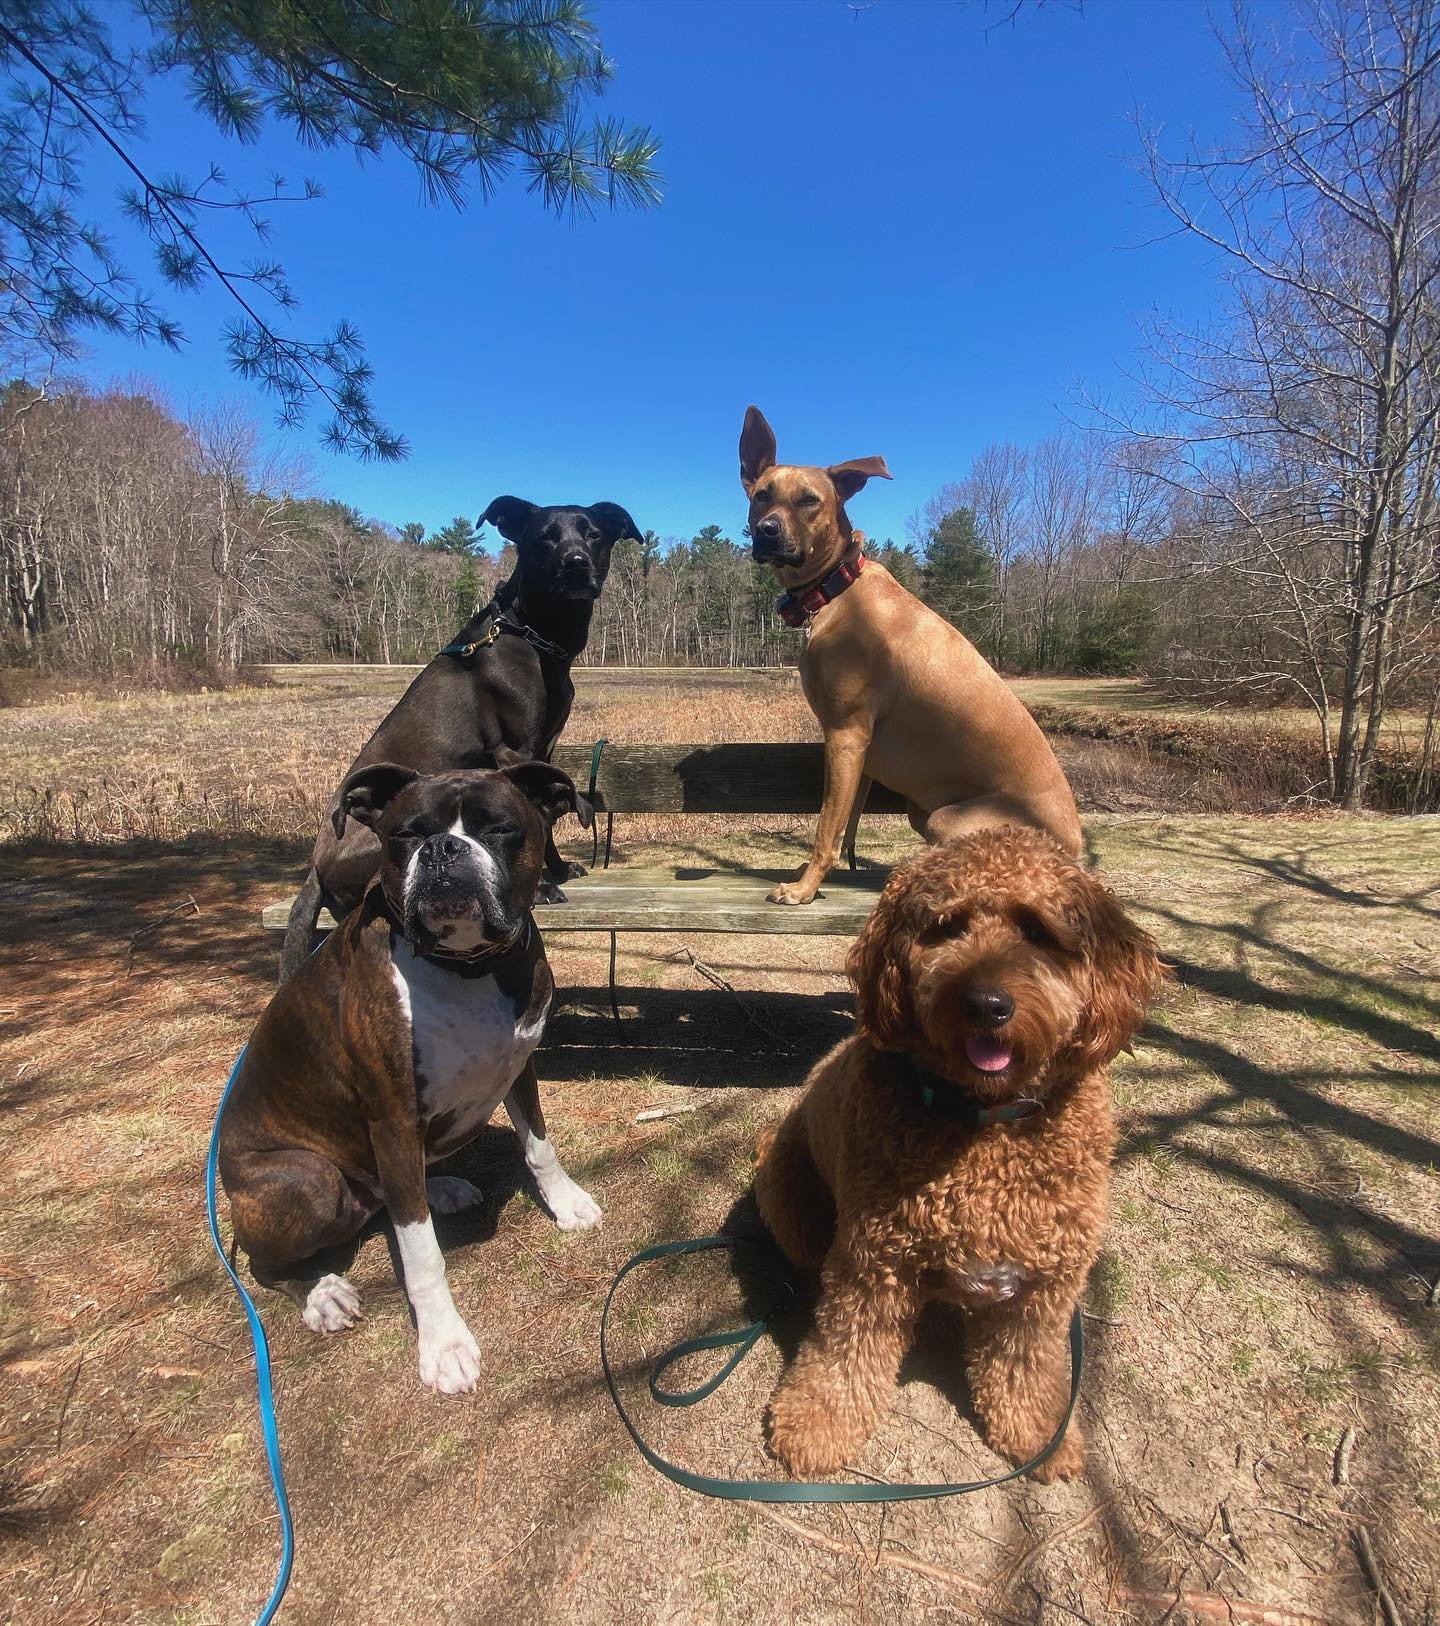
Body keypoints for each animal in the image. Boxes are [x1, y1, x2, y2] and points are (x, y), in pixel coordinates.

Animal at [217, 754, 601, 1391]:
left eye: (499, 828)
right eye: (404, 834)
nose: (444, 847)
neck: (467, 968)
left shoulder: (520, 1065)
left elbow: (539, 1146)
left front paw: (566, 1203)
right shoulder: (393, 1120)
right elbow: (421, 1252)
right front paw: (443, 1343)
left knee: (391, 1196)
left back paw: (438, 1186)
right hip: (307, 1179)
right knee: (262, 1260)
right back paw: (320, 1294)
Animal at [279, 494, 640, 975]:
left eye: (593, 534)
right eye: (543, 538)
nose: (576, 564)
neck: (532, 635)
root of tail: (314, 872)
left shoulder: (544, 751)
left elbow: (546, 816)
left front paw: (559, 869)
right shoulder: (515, 749)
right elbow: (536, 819)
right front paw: (541, 888)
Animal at [737, 401, 1079, 910]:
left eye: (809, 500)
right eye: (762, 495)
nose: (766, 532)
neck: (835, 589)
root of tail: (1076, 852)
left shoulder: (846, 734)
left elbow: (824, 830)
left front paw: (804, 888)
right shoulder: (857, 752)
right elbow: (844, 826)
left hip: (949, 819)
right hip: (925, 811)